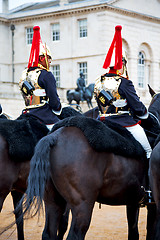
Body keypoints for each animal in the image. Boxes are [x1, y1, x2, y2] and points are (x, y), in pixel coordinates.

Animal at [15, 88, 160, 240]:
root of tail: (53, 136)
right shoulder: (153, 205)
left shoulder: (132, 202)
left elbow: (134, 232)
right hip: (82, 206)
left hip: (53, 201)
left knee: (48, 232)